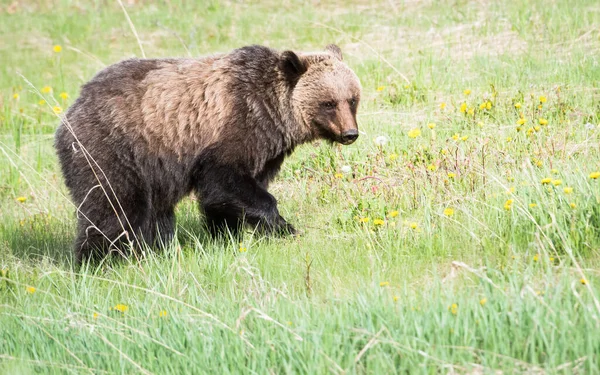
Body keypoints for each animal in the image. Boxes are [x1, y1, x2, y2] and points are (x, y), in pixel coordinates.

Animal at [56, 44, 364, 262]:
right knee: (113, 207)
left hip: (152, 171)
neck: (274, 115)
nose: (350, 133)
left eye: (352, 99)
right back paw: (101, 258)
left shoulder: (265, 151)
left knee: (155, 213)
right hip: (115, 149)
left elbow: (230, 197)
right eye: (328, 103)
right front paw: (284, 227)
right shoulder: (232, 127)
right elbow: (225, 181)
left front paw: (227, 234)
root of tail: (72, 109)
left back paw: (156, 249)